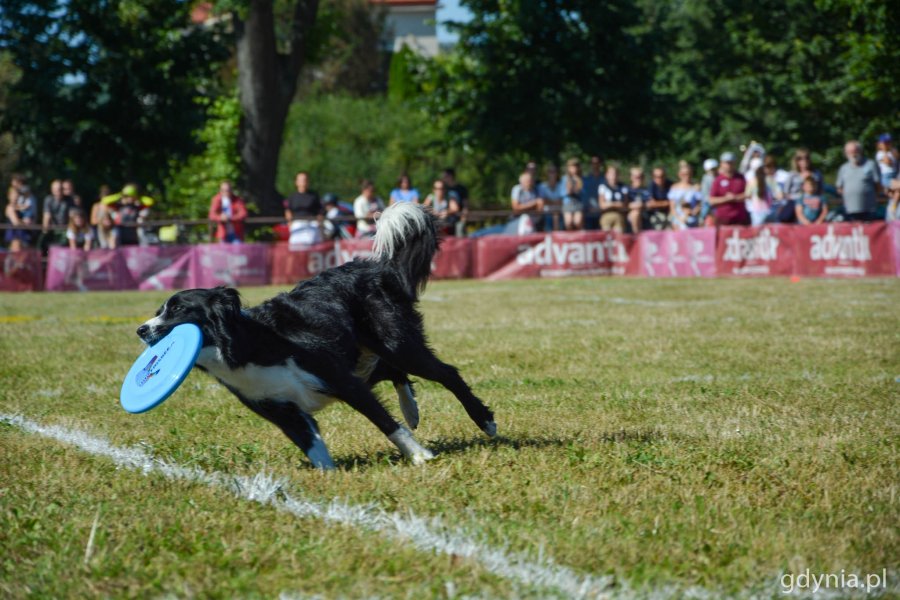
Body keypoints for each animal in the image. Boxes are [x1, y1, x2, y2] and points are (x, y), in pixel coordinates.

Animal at [137, 204, 496, 472]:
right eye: (158, 310)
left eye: (178, 310)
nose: (141, 330)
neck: (246, 346)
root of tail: (377, 268)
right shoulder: (281, 409)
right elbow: (311, 445)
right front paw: (326, 479)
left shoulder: (340, 378)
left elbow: (384, 422)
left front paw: (419, 455)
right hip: (362, 353)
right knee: (394, 372)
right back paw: (412, 409)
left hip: (395, 342)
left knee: (445, 372)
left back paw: (484, 422)